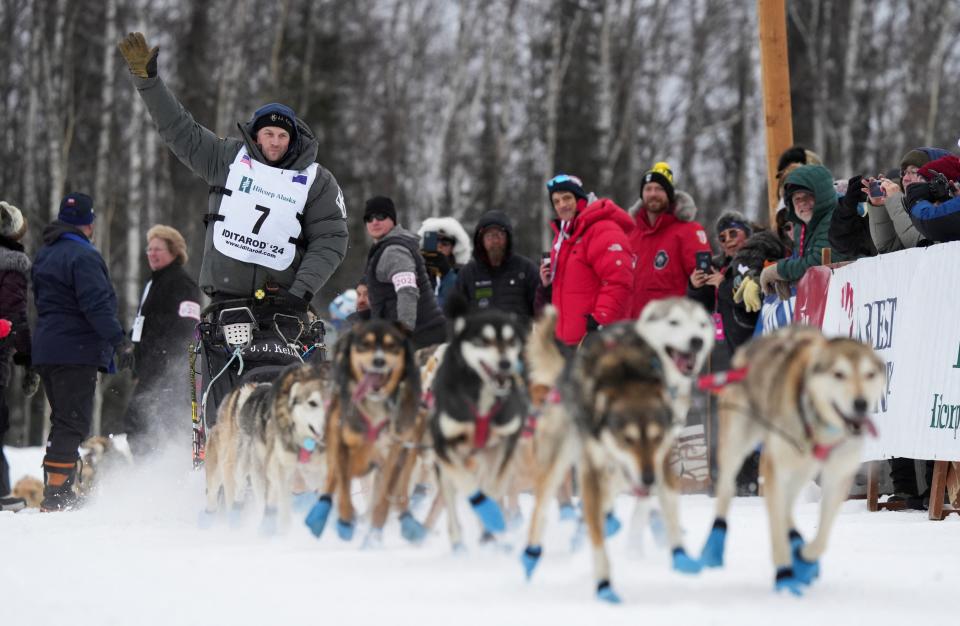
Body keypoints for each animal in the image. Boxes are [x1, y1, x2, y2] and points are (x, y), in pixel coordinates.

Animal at [432, 302, 528, 552]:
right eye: (483, 341)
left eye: (511, 340)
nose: (505, 363)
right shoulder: (442, 444)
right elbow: (468, 485)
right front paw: (488, 512)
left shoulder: (509, 440)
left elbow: (496, 485)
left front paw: (492, 520)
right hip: (444, 470)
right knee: (453, 505)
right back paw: (459, 545)